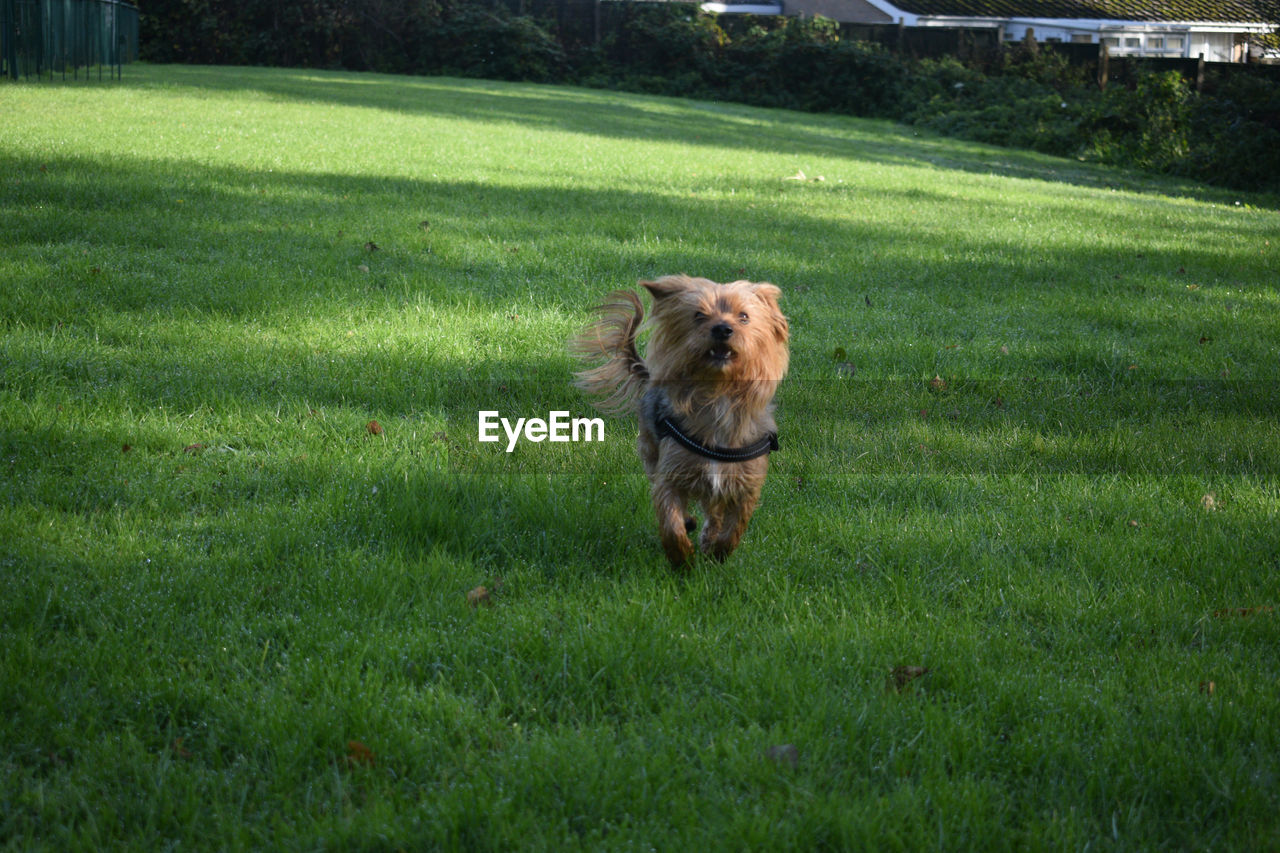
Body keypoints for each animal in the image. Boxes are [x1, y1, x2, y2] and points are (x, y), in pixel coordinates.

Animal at [573, 274, 788, 563]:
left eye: (744, 317)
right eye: (699, 315)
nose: (723, 329)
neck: (718, 394)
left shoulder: (745, 484)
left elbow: (733, 529)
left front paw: (716, 553)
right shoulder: (672, 473)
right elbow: (671, 522)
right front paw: (682, 558)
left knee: (714, 513)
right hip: (651, 450)